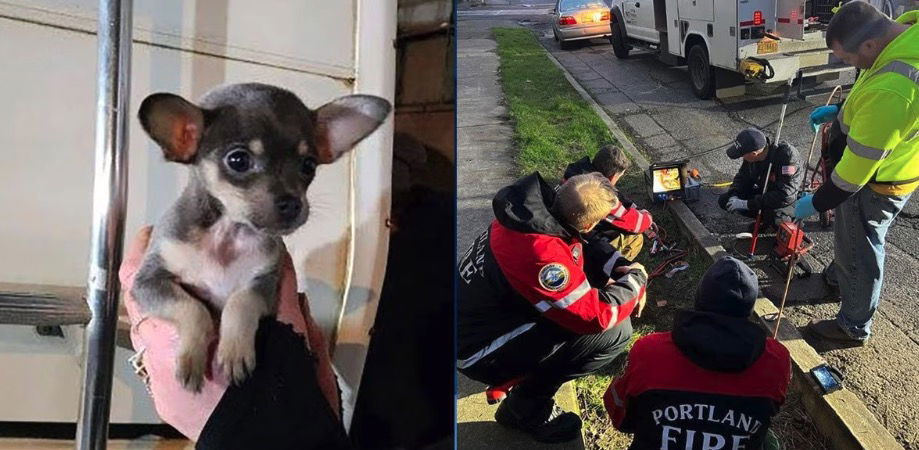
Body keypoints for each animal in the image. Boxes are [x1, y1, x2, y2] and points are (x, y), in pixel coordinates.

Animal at [131, 82, 390, 392]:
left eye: (309, 165)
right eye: (238, 160)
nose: (293, 204)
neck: (228, 232)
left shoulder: (264, 285)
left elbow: (240, 303)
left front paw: (234, 352)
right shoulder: (148, 281)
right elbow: (193, 308)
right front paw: (191, 357)